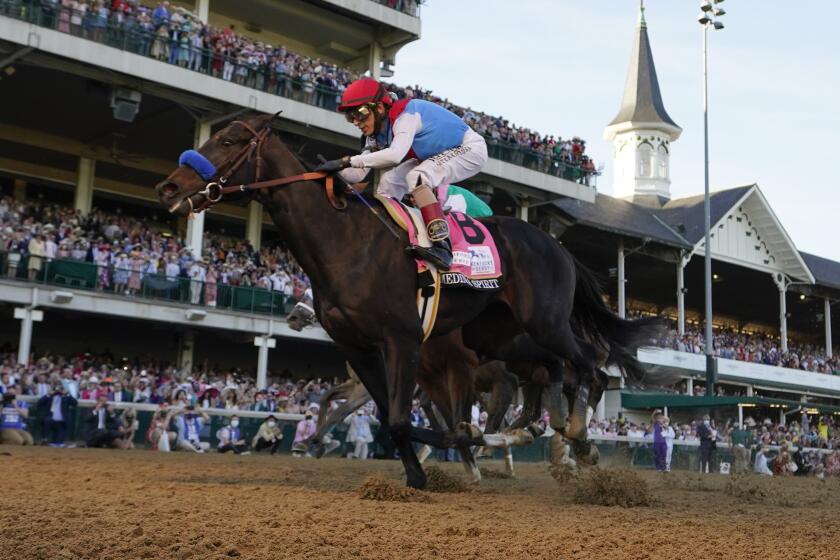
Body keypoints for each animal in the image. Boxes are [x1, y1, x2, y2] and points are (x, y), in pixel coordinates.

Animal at [156, 115, 664, 490]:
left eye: (228, 140)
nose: (169, 188)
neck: (345, 241)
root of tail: (558, 246)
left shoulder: (403, 341)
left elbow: (403, 419)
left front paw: (445, 455)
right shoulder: (363, 349)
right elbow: (388, 415)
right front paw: (421, 467)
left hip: (545, 321)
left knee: (592, 366)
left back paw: (579, 438)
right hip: (498, 334)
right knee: (554, 371)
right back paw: (549, 431)